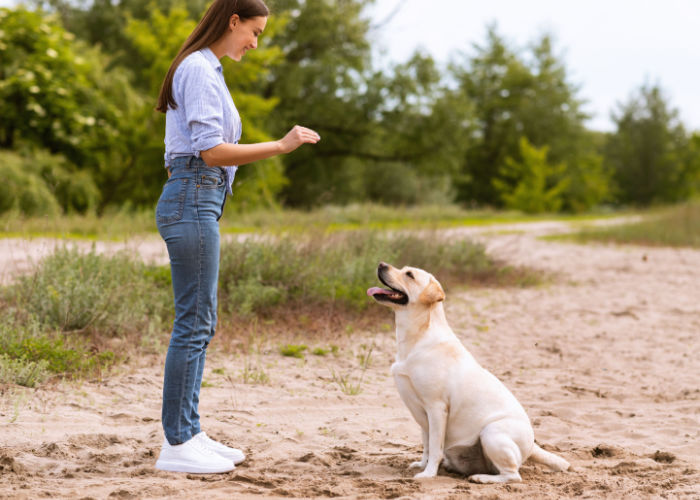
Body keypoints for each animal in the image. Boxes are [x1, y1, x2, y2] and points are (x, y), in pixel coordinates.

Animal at [366, 264, 568, 482]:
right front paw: (421, 465)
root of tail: (532, 446)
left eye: (409, 275)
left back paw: (481, 478)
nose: (381, 264)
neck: (417, 336)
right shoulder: (422, 415)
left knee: (512, 475)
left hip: (492, 433)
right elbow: (426, 445)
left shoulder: (436, 408)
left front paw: (428, 473)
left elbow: (435, 447)